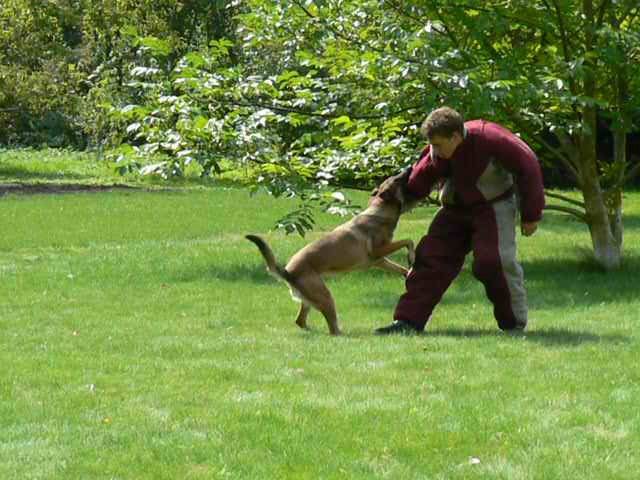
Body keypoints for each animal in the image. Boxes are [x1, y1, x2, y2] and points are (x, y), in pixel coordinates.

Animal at [245, 171, 416, 336]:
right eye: (396, 179)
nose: (409, 169)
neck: (380, 210)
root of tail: (288, 272)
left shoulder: (379, 260)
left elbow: (400, 265)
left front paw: (408, 271)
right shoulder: (378, 251)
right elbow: (408, 240)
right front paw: (411, 257)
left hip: (312, 299)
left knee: (300, 321)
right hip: (326, 297)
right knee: (332, 329)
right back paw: (343, 335)